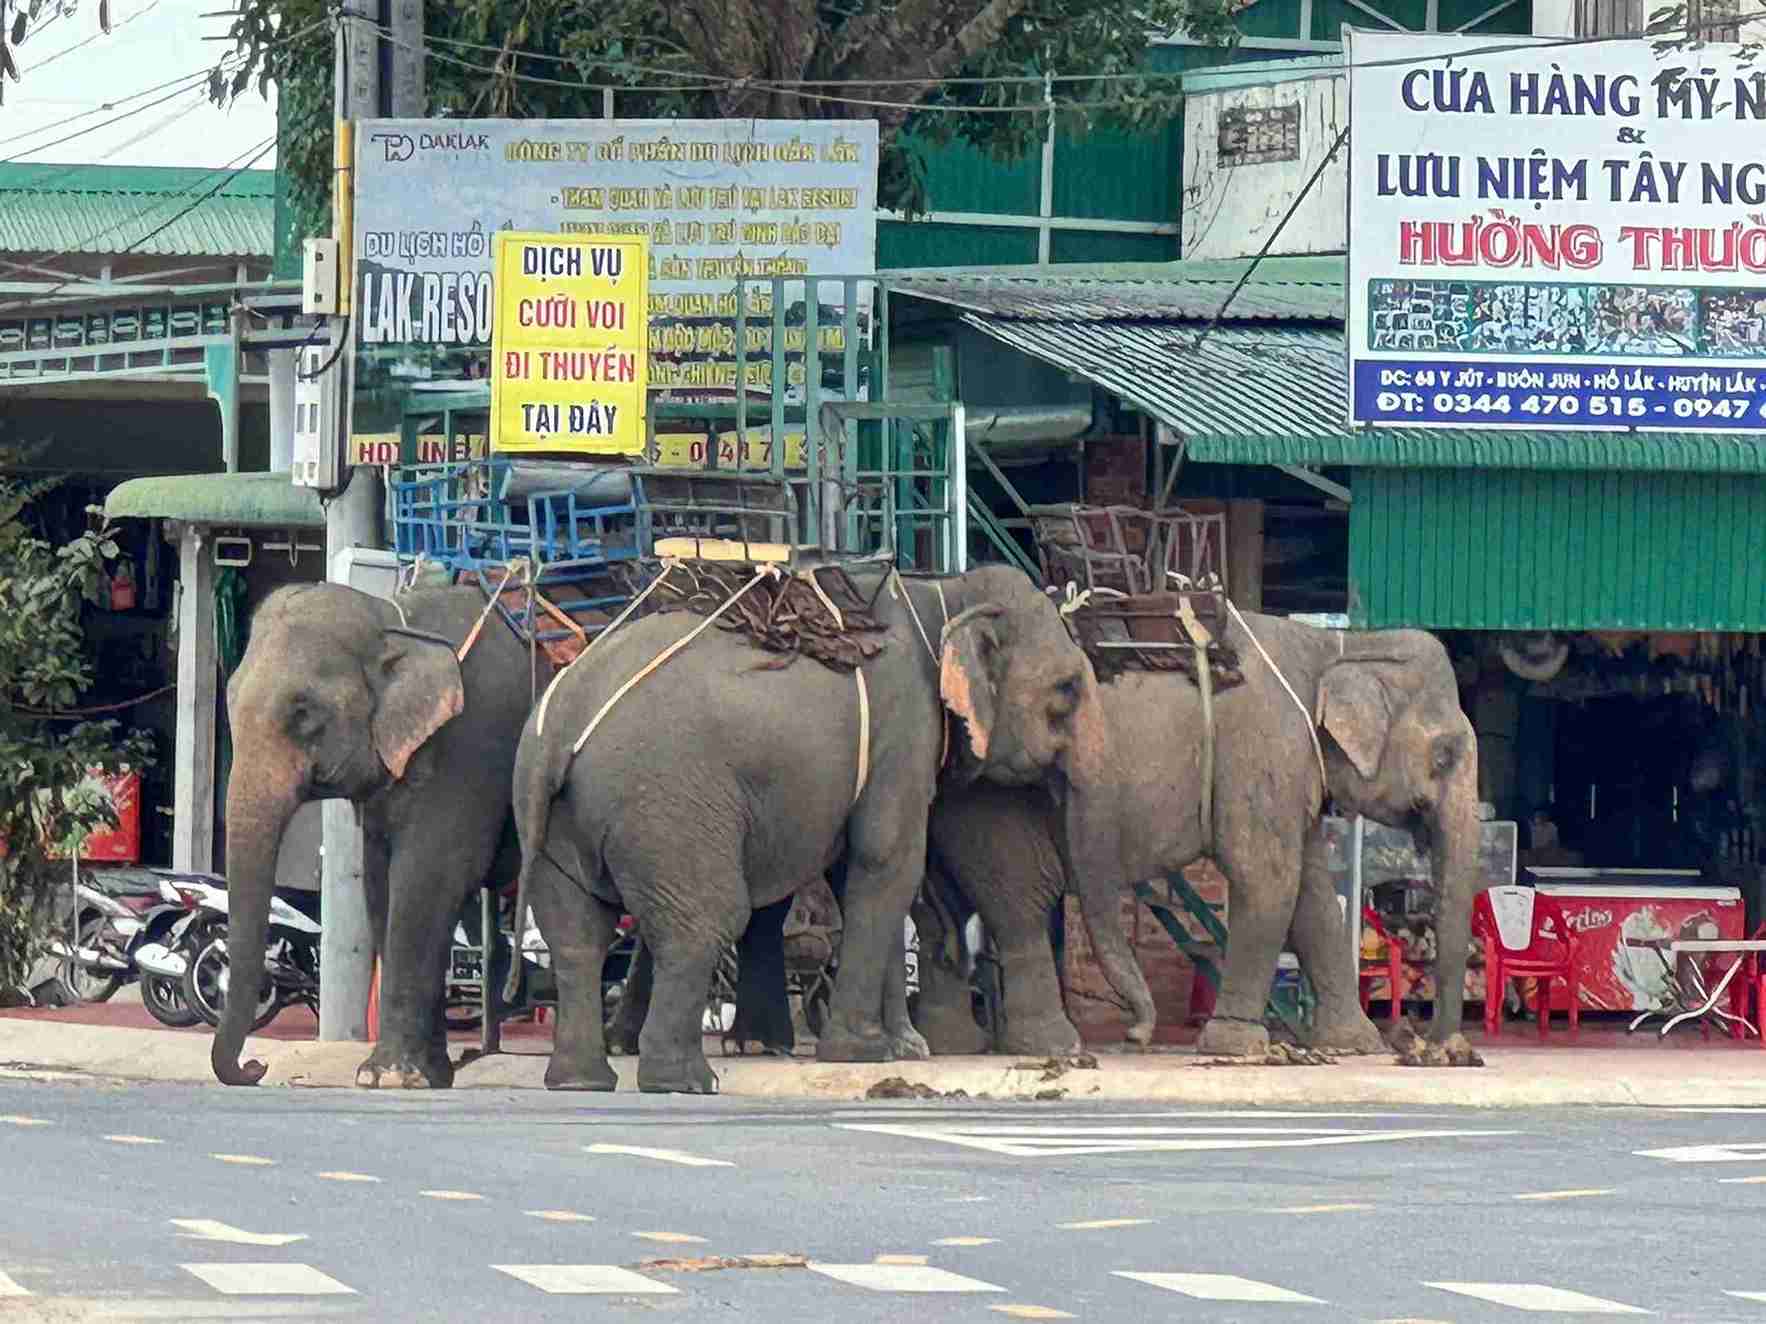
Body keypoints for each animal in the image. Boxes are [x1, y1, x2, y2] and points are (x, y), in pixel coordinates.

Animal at [210, 586, 536, 1094]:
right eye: (229, 700)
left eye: (303, 712)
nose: (256, 1068)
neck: (391, 620)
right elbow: (379, 885)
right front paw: (428, 1075)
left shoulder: (469, 751)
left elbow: (428, 877)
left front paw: (388, 1076)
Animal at [508, 564, 1158, 1094]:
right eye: (1066, 690)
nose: (1137, 1038)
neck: (943, 591)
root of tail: (557, 729)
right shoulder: (904, 726)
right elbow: (888, 859)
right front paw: (863, 1052)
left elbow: (860, 873)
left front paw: (903, 1049)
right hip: (668, 804)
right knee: (706, 920)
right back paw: (688, 1081)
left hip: (560, 821)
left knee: (577, 933)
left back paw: (582, 1081)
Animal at [932, 614, 1483, 1066]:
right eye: (1444, 756)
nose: (1436, 1048)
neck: (1338, 645)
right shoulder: (1265, 751)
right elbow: (1268, 879)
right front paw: (1240, 1045)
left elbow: (1315, 898)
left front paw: (1354, 1044)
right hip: (993, 797)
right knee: (1019, 902)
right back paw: (1050, 1046)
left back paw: (959, 1042)